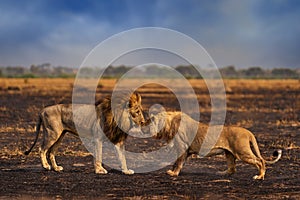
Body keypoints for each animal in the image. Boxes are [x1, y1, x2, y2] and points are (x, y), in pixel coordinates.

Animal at [149, 111, 282, 180]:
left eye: (151, 121)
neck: (170, 122)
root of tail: (248, 132)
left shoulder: (182, 148)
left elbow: (178, 162)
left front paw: (173, 174)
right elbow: (177, 162)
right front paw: (172, 172)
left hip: (242, 152)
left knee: (260, 161)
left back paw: (260, 176)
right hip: (229, 153)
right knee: (232, 168)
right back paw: (222, 173)